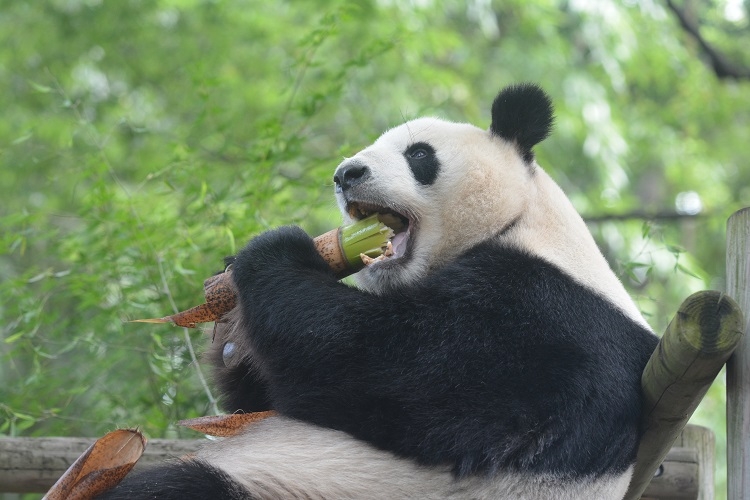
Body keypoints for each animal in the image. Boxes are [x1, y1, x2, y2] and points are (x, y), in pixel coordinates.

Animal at [104, 86, 656, 500]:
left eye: (419, 154)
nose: (346, 174)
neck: (519, 221)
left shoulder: (545, 322)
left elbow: (389, 370)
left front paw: (272, 252)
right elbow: (266, 399)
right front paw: (229, 329)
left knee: (178, 489)